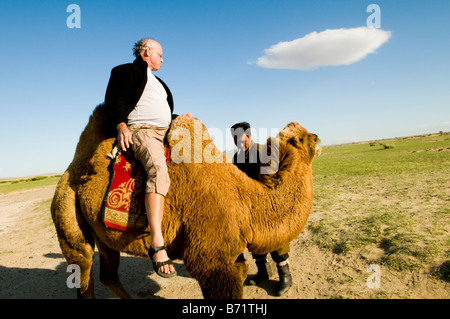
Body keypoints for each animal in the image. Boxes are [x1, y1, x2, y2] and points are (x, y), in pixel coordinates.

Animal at [51, 105, 322, 300]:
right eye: (299, 138)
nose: (318, 137)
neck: (245, 202)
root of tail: (69, 171)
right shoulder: (211, 260)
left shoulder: (231, 255)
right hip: (66, 213)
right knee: (83, 271)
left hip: (103, 233)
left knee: (108, 275)